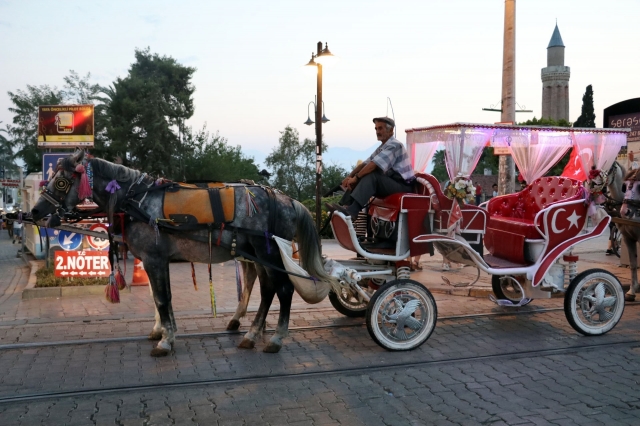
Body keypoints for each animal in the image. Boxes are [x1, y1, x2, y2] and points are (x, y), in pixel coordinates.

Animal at [31, 150, 336, 356]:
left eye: (61, 182)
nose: (35, 211)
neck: (135, 200)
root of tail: (286, 199)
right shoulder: (154, 260)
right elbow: (157, 297)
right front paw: (161, 331)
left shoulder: (154, 258)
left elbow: (162, 298)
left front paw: (166, 340)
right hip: (257, 254)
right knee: (267, 289)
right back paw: (252, 333)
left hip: (269, 252)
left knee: (284, 289)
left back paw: (275, 338)